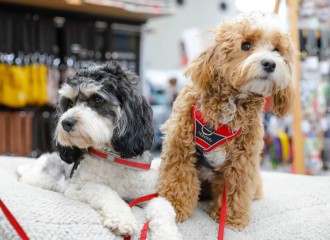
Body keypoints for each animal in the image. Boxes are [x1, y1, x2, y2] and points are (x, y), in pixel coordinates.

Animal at [18, 62, 182, 240]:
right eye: (70, 103)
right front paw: (122, 219)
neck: (112, 158)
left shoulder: (148, 194)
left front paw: (167, 233)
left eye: (97, 99)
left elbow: (164, 208)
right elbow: (105, 191)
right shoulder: (75, 188)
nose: (66, 122)